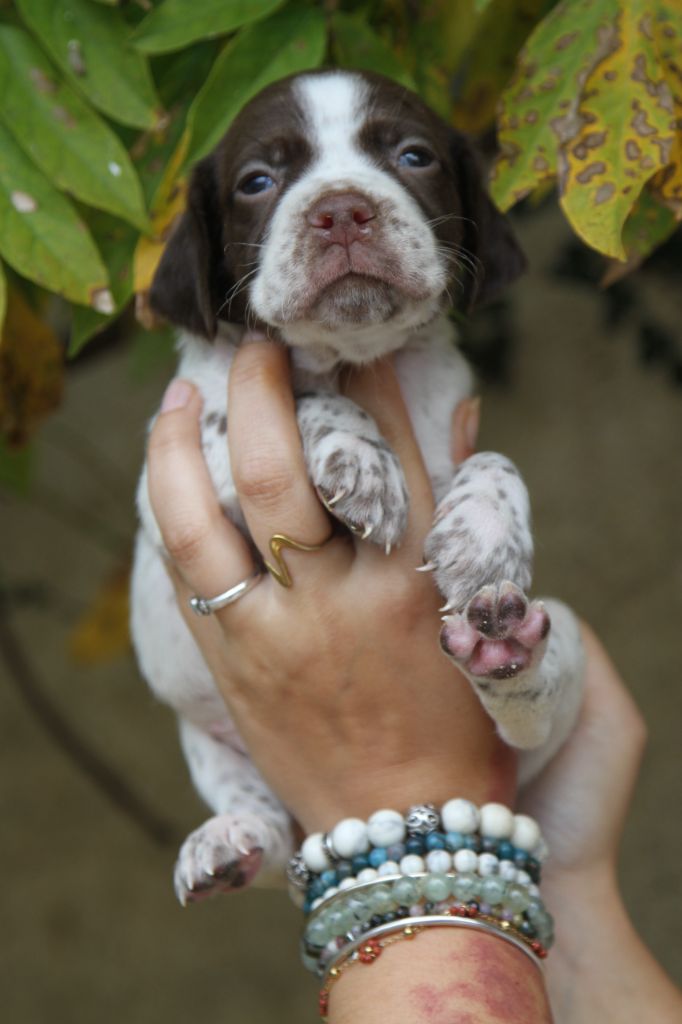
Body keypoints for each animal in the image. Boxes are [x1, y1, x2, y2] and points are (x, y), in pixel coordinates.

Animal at [130, 70, 581, 905]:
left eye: (413, 156)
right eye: (257, 181)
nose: (342, 209)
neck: (351, 354)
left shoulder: (454, 416)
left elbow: (495, 457)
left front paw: (483, 534)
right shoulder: (182, 452)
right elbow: (302, 401)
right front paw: (359, 457)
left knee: (531, 709)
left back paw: (504, 651)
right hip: (206, 740)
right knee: (270, 830)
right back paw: (228, 840)